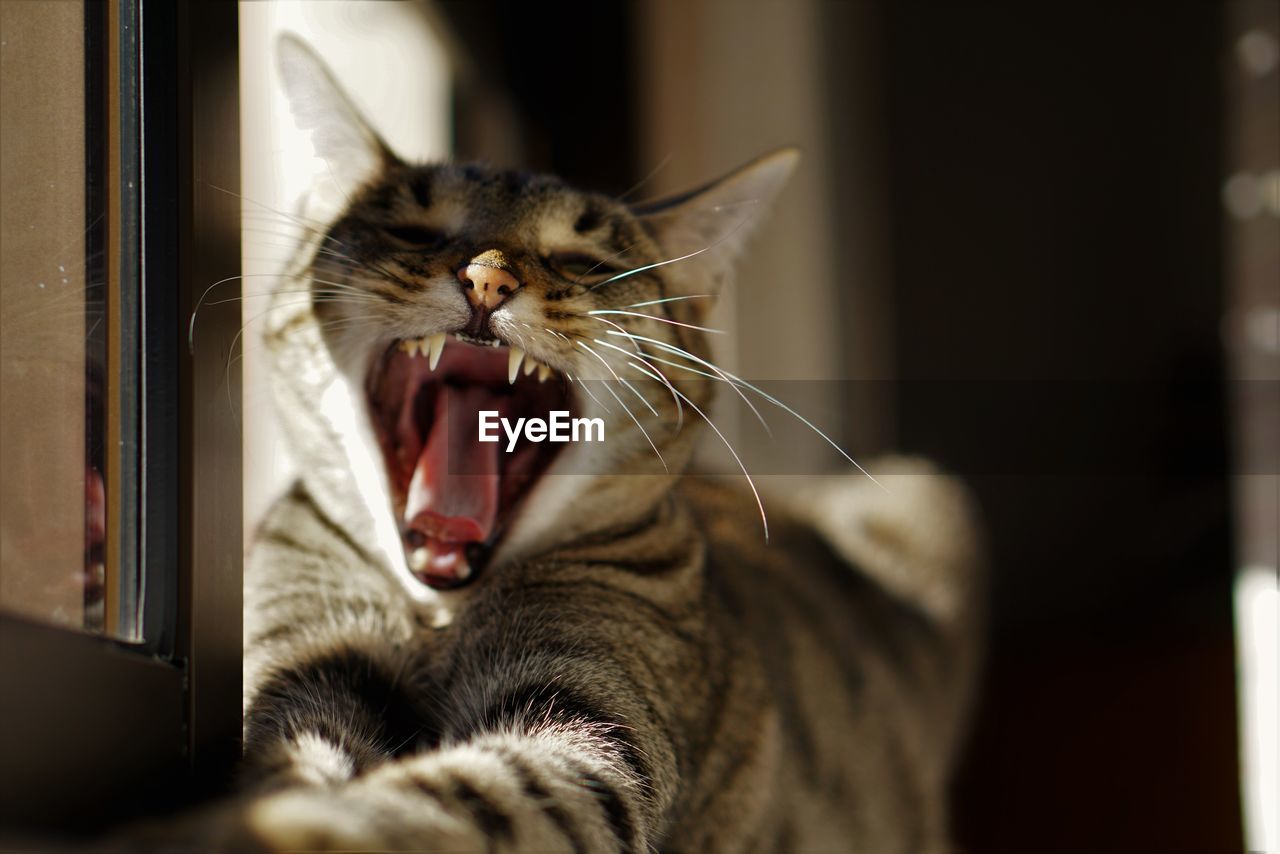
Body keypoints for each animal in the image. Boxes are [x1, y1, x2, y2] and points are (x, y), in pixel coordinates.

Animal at [207, 35, 977, 854]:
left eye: (583, 260)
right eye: (413, 232)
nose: (485, 279)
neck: (439, 618)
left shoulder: (593, 725)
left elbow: (455, 801)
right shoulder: (306, 668)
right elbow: (295, 760)